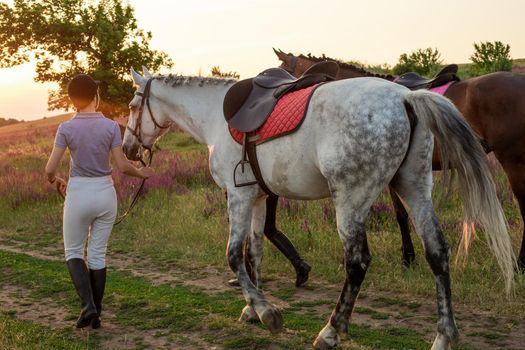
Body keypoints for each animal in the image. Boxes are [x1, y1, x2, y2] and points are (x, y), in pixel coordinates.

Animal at [122, 67, 512, 348]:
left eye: (132, 107)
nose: (127, 148)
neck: (217, 117)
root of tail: (406, 96)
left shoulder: (238, 196)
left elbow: (234, 254)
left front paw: (266, 312)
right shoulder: (258, 197)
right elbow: (255, 252)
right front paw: (253, 308)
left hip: (351, 202)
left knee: (357, 262)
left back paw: (331, 331)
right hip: (413, 187)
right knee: (437, 252)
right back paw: (444, 336)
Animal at [272, 47, 524, 270]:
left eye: (283, 71)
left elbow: (399, 215)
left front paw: (406, 257)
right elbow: (401, 214)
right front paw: (409, 256)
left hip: (513, 161)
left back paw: (519, 264)